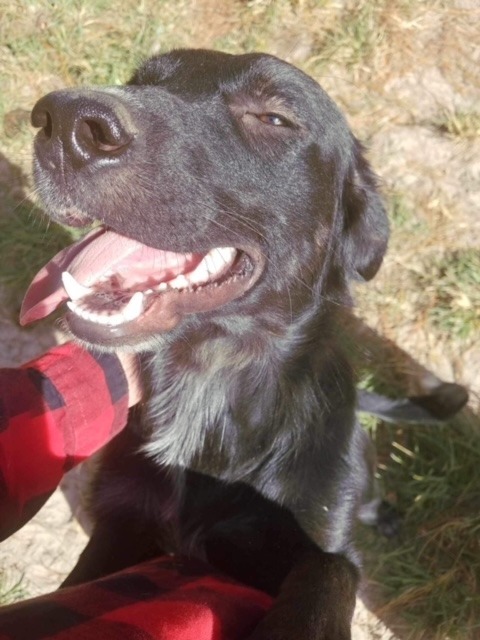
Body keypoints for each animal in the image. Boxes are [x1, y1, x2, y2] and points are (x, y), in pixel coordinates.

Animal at [21, 51, 390, 640]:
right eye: (141, 81)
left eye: (275, 117)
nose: (65, 121)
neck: (208, 373)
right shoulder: (123, 521)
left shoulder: (317, 532)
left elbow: (330, 571)